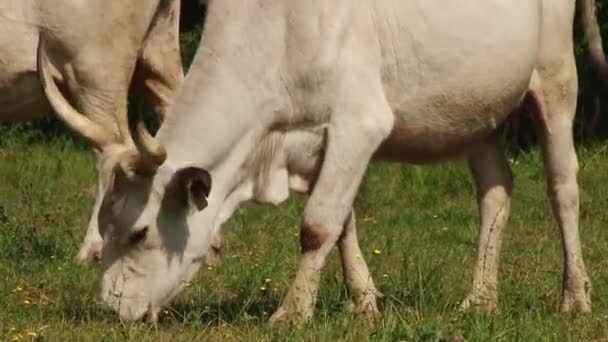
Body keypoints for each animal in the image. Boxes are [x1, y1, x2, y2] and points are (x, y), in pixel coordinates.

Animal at [36, 0, 588, 324]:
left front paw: (292, 314)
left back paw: (575, 296)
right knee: (495, 190)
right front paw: (364, 302)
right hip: (476, 109)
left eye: (140, 233)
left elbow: (318, 225)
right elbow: (343, 222)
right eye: (102, 230)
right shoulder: (318, 142)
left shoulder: (359, 122)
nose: (113, 307)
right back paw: (481, 299)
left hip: (556, 74)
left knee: (563, 188)